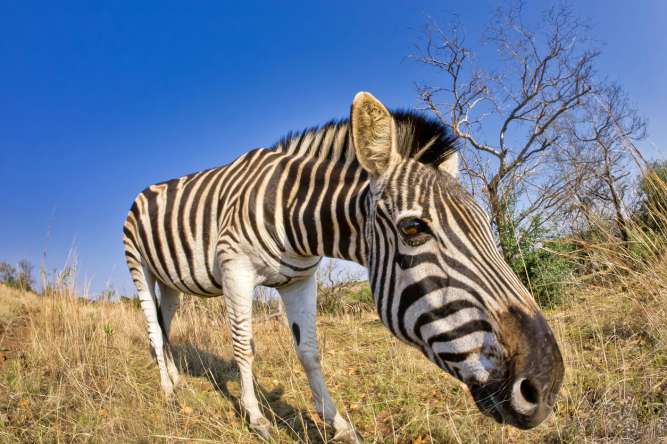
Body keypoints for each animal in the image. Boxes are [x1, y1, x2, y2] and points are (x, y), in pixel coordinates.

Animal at [123, 92, 564, 441]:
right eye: (413, 228)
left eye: (488, 226)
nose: (547, 383)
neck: (295, 214)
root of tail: (150, 187)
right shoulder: (236, 269)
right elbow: (243, 346)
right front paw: (257, 420)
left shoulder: (300, 279)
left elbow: (309, 352)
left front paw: (338, 424)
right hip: (139, 267)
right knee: (152, 327)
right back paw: (168, 391)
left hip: (172, 282)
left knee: (165, 324)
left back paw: (177, 381)